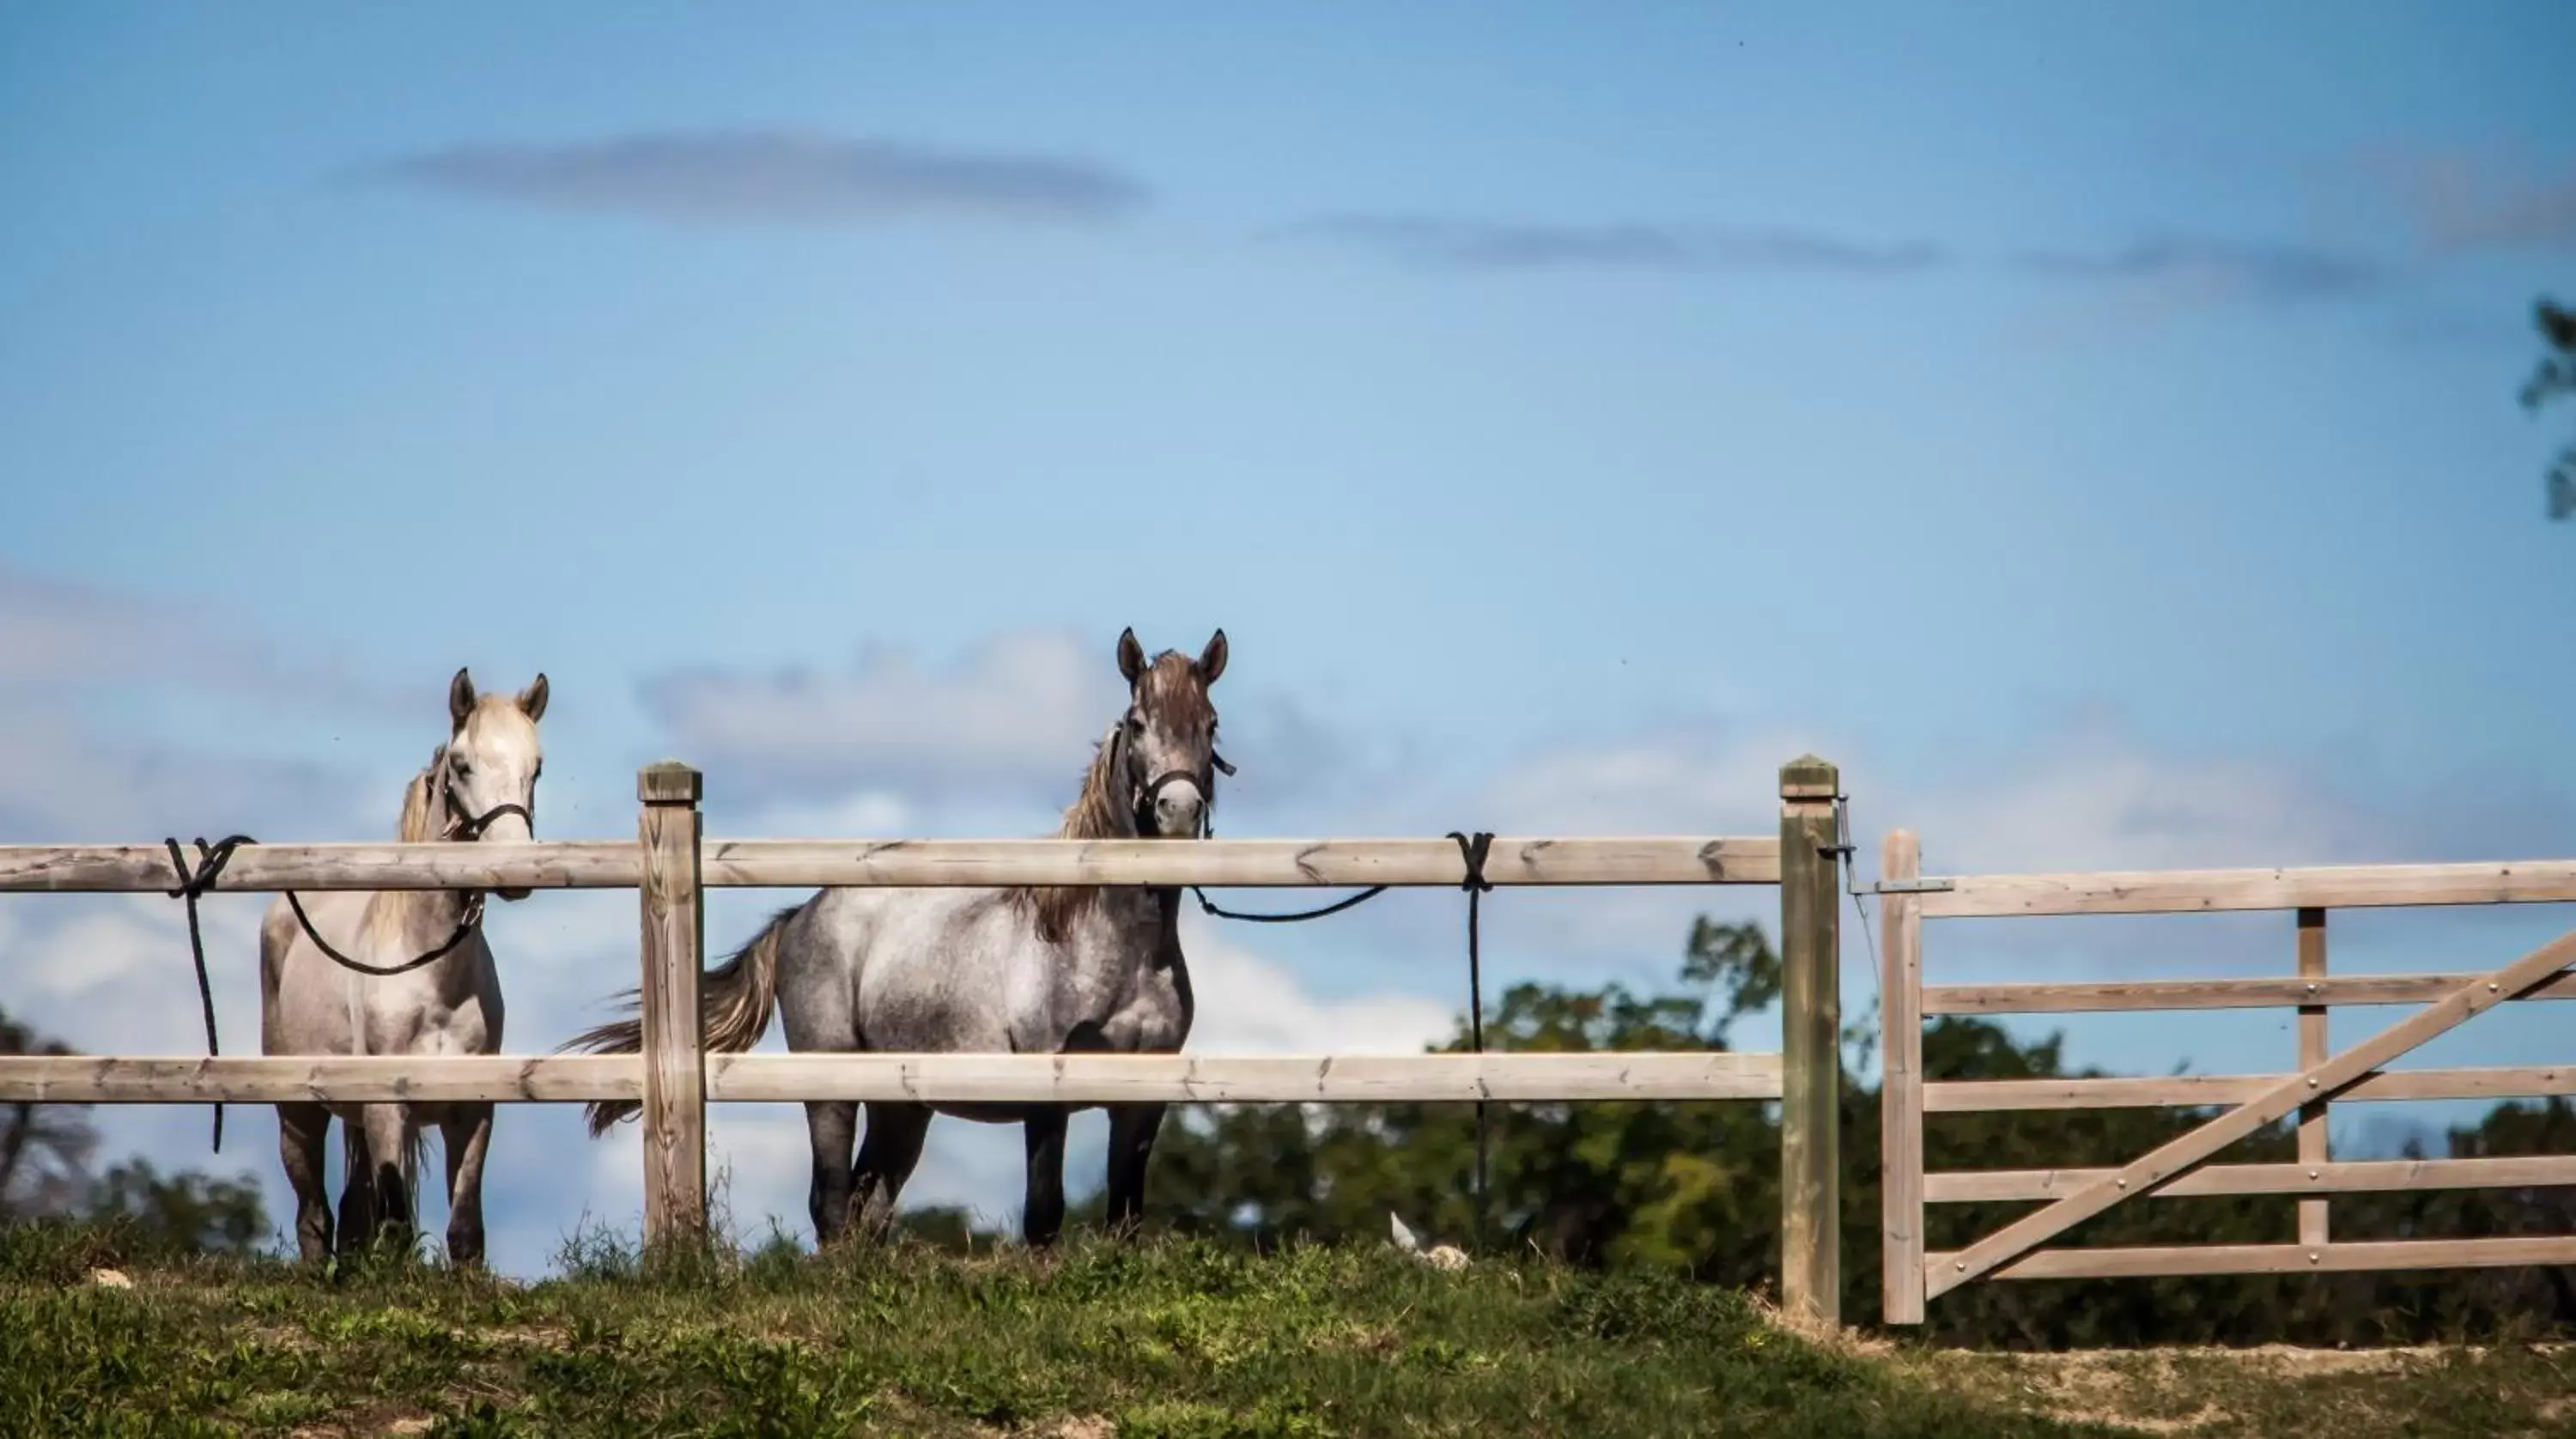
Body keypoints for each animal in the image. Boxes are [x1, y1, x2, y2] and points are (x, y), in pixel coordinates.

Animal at [258, 669, 546, 1266]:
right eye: (462, 764)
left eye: (537, 767)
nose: (514, 870)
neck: (433, 979)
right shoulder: (387, 1109)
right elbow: (393, 1227)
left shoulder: (474, 1113)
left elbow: (465, 1229)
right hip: (298, 1113)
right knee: (314, 1214)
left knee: (348, 1213)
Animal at [585, 630, 1226, 1251]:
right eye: (1139, 721)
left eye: (1211, 722)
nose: (1178, 809)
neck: (1105, 948)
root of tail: (800, 916)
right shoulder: (1047, 1097)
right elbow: (1044, 1216)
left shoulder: (1142, 1102)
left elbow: (1125, 1220)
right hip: (832, 1093)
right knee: (831, 1206)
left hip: (901, 1109)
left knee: (869, 1207)